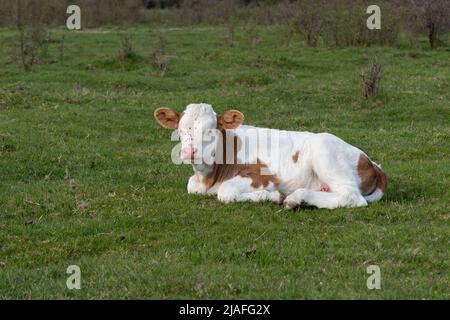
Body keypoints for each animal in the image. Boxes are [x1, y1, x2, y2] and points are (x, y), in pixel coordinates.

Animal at [155, 102, 386, 211]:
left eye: (210, 130)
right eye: (180, 130)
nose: (189, 152)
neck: (208, 177)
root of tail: (372, 162)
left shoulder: (262, 176)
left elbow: (226, 192)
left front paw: (272, 196)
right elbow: (191, 186)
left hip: (325, 153)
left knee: (352, 197)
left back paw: (295, 198)